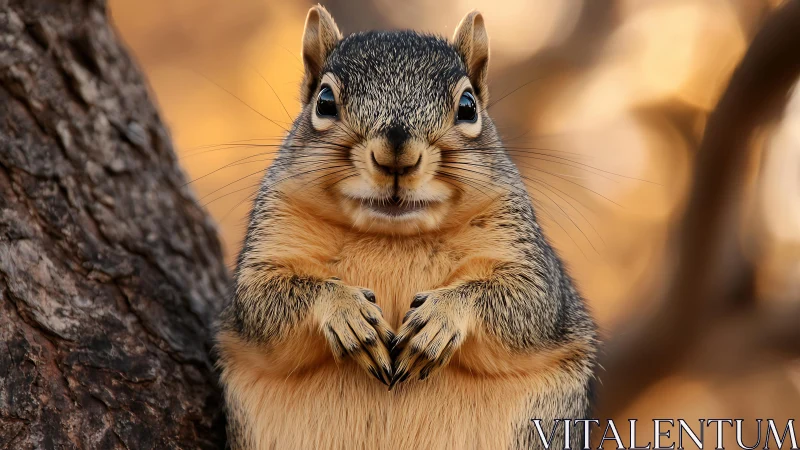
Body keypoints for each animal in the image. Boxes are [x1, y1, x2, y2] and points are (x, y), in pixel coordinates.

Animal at [216, 5, 597, 450]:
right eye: (324, 101)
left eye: (468, 106)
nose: (396, 153)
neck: (392, 236)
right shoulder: (273, 235)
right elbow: (261, 302)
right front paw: (346, 311)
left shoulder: (523, 254)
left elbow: (528, 304)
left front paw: (441, 318)